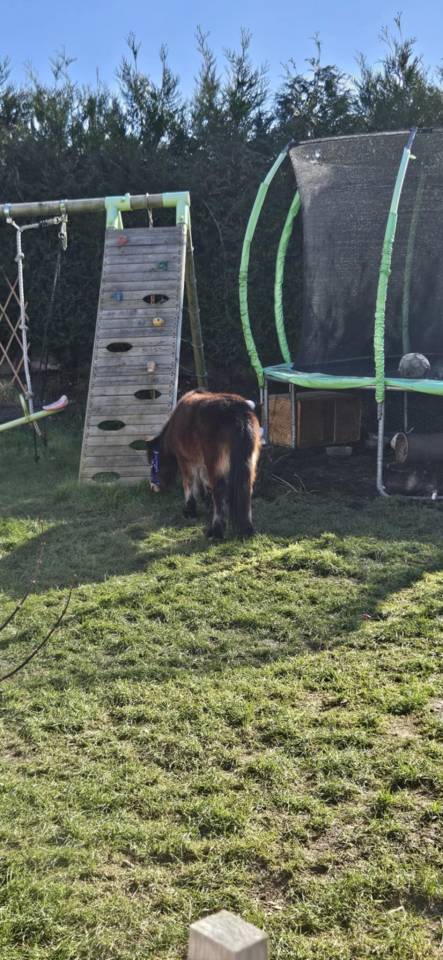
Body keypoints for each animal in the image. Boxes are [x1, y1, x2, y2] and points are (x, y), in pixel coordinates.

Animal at [147, 390, 261, 538]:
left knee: (219, 490)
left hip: (215, 462)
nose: (153, 486)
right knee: (245, 488)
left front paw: (189, 510)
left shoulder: (186, 460)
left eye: (153, 463)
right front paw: (207, 505)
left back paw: (216, 531)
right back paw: (246, 529)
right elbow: (204, 482)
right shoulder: (201, 462)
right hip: (247, 462)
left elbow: (189, 482)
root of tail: (238, 412)